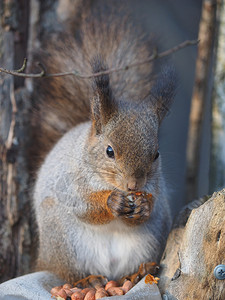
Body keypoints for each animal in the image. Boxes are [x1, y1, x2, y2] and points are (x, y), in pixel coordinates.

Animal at [31, 0, 176, 288]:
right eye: (109, 151)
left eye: (156, 154)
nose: (134, 185)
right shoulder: (69, 183)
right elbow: (84, 206)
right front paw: (112, 202)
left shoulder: (156, 188)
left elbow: (151, 206)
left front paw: (144, 206)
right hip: (63, 241)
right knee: (71, 273)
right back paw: (88, 282)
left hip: (151, 238)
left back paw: (137, 273)